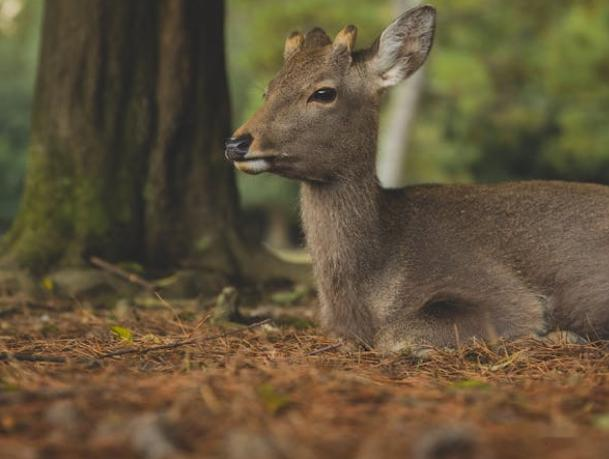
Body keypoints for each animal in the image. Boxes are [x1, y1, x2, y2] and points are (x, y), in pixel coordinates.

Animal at [226, 4, 608, 352]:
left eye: (323, 92)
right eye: (268, 90)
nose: (237, 142)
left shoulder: (504, 294)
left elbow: (393, 335)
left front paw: (551, 335)